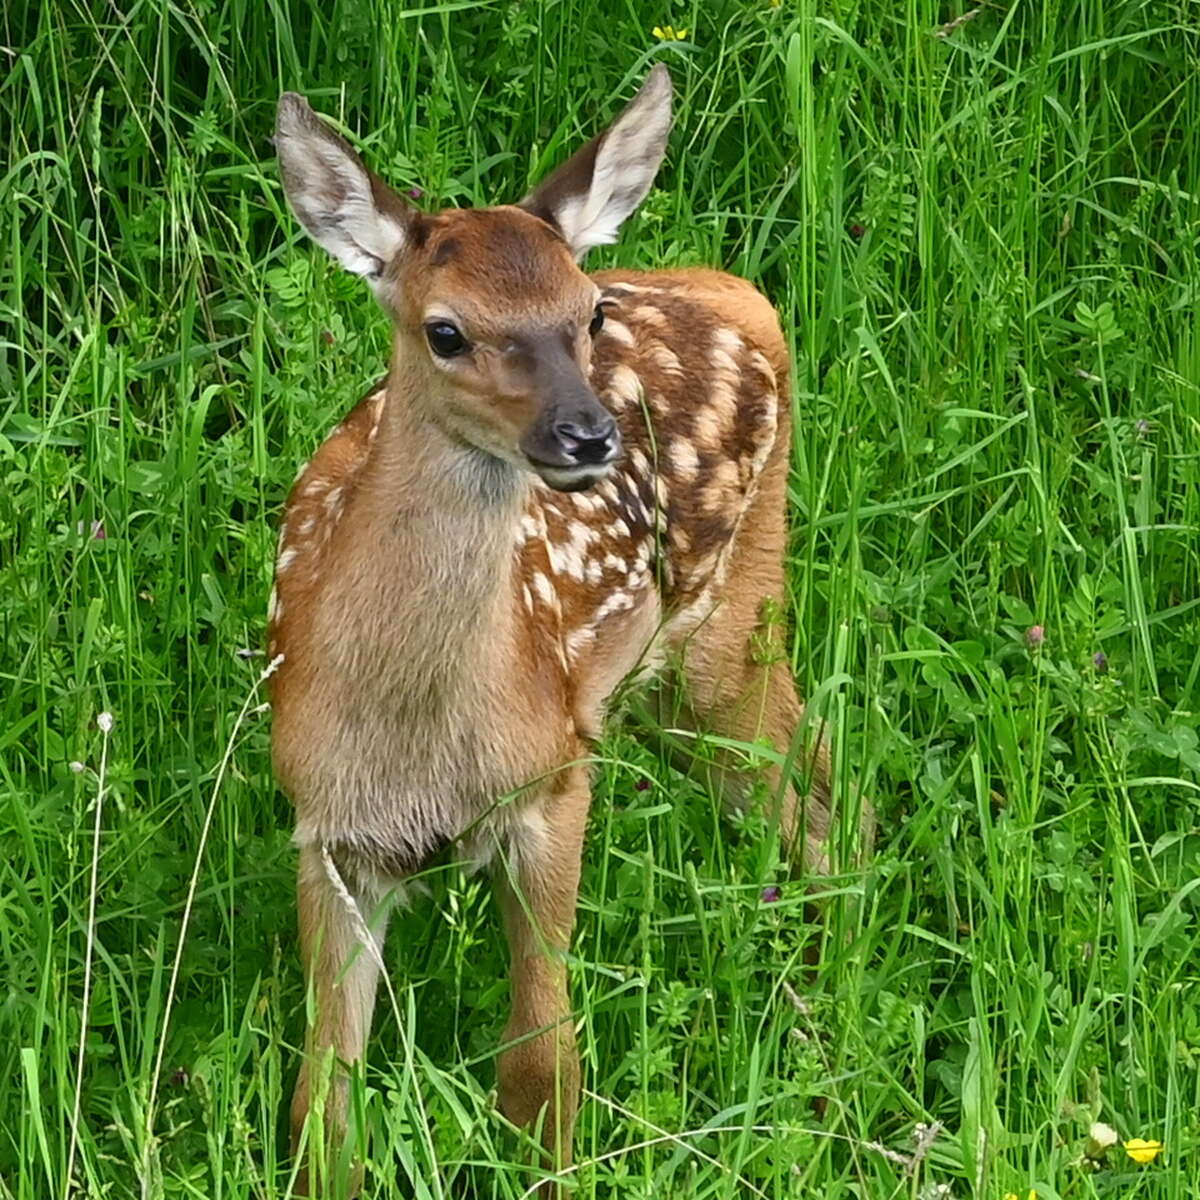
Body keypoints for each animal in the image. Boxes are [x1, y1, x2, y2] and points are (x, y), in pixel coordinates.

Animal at [269, 65, 871, 1195]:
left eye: (583, 314)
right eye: (446, 330)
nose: (586, 435)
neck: (413, 737)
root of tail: (734, 293)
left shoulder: (551, 780)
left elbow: (542, 1062)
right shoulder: (328, 831)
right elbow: (323, 1099)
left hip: (734, 622)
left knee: (820, 798)